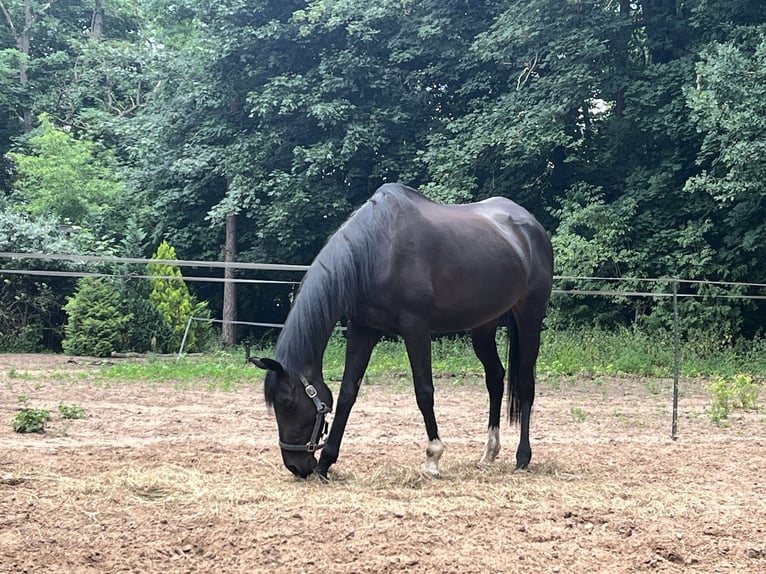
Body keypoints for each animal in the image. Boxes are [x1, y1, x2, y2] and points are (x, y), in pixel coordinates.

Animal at [250, 183, 553, 479]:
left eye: (288, 403)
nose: (295, 466)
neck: (377, 251)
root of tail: (532, 226)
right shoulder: (362, 330)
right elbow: (348, 392)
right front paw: (326, 462)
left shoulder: (416, 329)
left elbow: (424, 391)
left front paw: (433, 457)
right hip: (483, 326)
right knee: (495, 378)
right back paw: (489, 453)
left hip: (529, 317)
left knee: (525, 383)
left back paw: (522, 457)